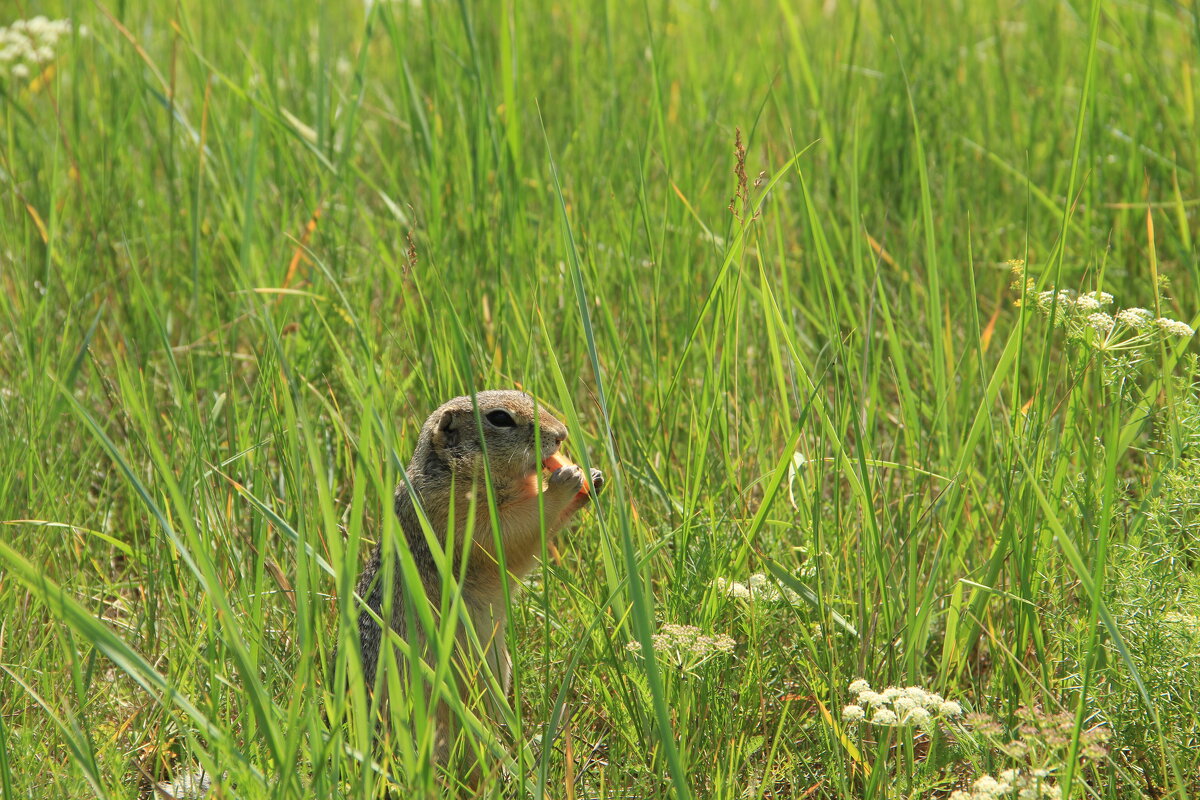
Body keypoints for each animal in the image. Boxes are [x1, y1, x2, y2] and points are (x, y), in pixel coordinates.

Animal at [343, 393, 604, 762]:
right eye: (500, 419)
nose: (562, 434)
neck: (456, 474)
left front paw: (592, 477)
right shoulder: (455, 515)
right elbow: (508, 533)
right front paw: (565, 480)